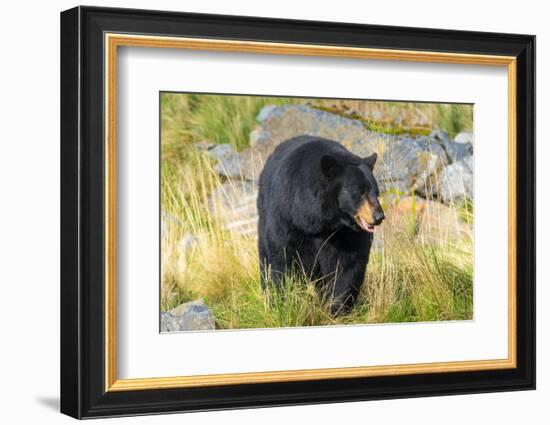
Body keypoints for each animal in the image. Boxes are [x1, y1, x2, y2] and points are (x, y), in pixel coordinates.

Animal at [258, 134, 384, 314]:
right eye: (361, 192)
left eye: (376, 192)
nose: (379, 216)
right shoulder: (288, 220)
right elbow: (284, 259)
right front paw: (286, 303)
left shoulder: (344, 234)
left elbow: (346, 265)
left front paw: (337, 309)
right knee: (265, 258)